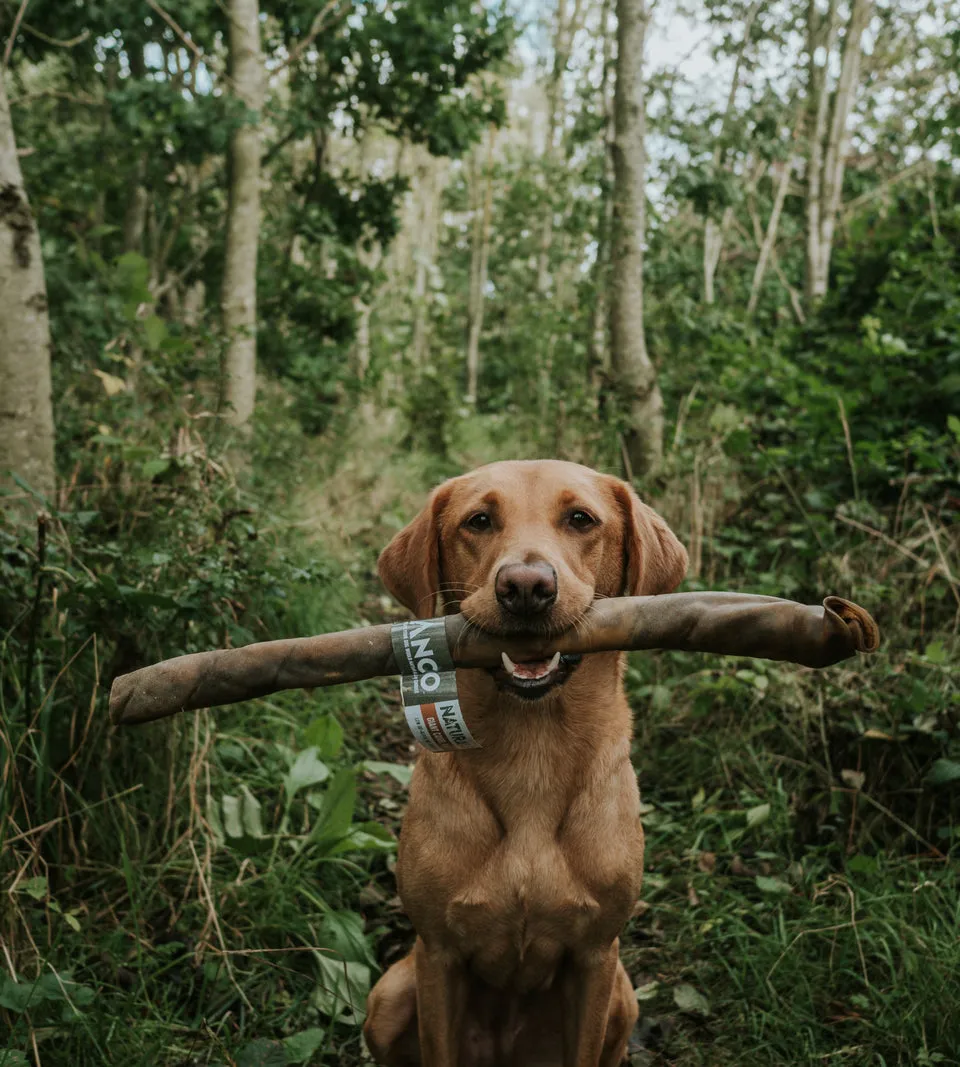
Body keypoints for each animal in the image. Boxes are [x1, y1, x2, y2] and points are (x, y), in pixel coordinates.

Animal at [364, 460, 686, 1067]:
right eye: (479, 521)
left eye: (581, 519)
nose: (526, 588)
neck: (531, 751)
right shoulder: (437, 954)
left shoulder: (595, 956)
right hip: (390, 995)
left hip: (624, 997)